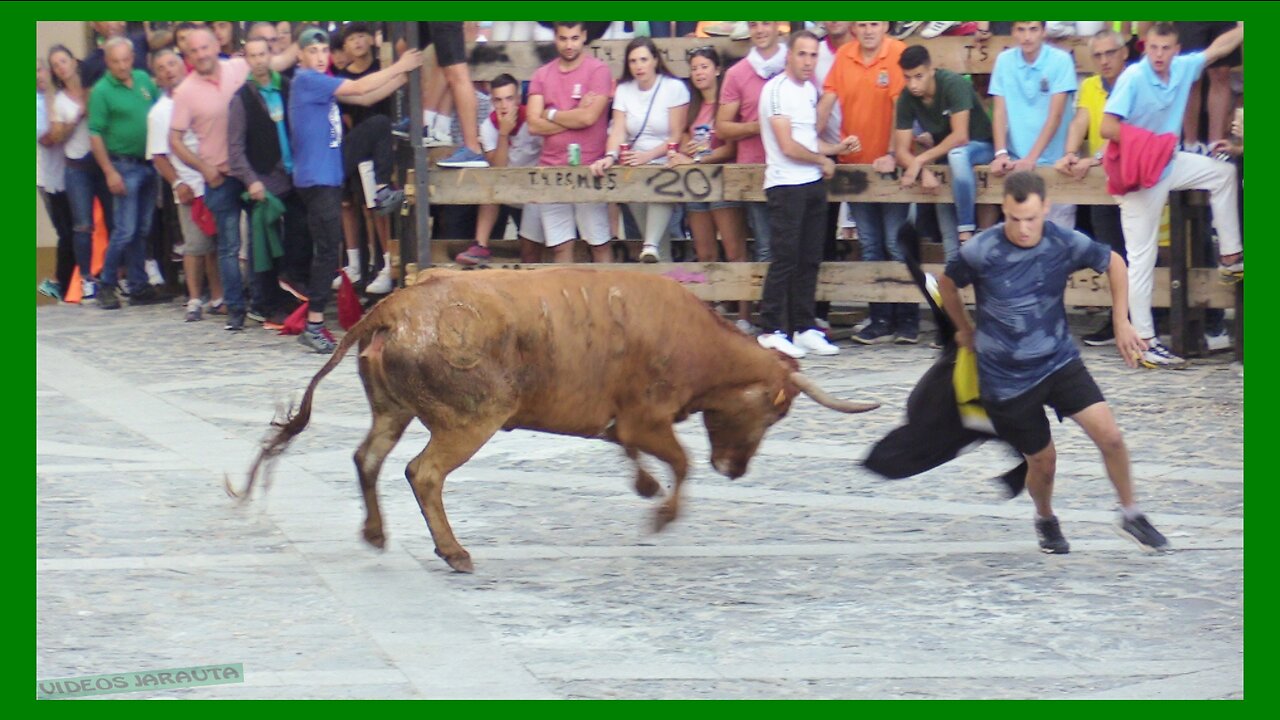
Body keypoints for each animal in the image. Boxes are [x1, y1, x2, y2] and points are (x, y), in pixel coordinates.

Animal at [230, 266, 875, 568]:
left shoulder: (621, 421)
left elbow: (635, 453)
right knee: (424, 473)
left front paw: (644, 488)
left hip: (393, 409)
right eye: (776, 409)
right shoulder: (648, 418)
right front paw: (662, 514)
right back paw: (454, 552)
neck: (693, 339)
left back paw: (375, 532)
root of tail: (393, 306)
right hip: (470, 420)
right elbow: (681, 461)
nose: (736, 470)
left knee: (367, 458)